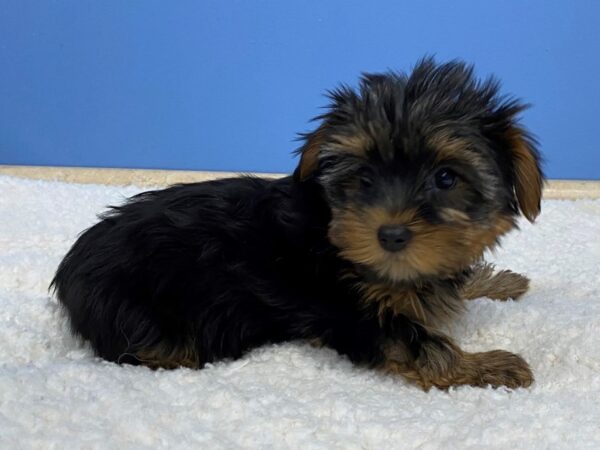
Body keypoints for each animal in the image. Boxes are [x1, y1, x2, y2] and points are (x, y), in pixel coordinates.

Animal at [54, 58, 548, 390]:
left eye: (446, 178)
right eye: (363, 177)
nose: (390, 235)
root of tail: (69, 271)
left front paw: (497, 281)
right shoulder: (349, 312)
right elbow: (420, 344)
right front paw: (488, 366)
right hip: (145, 314)